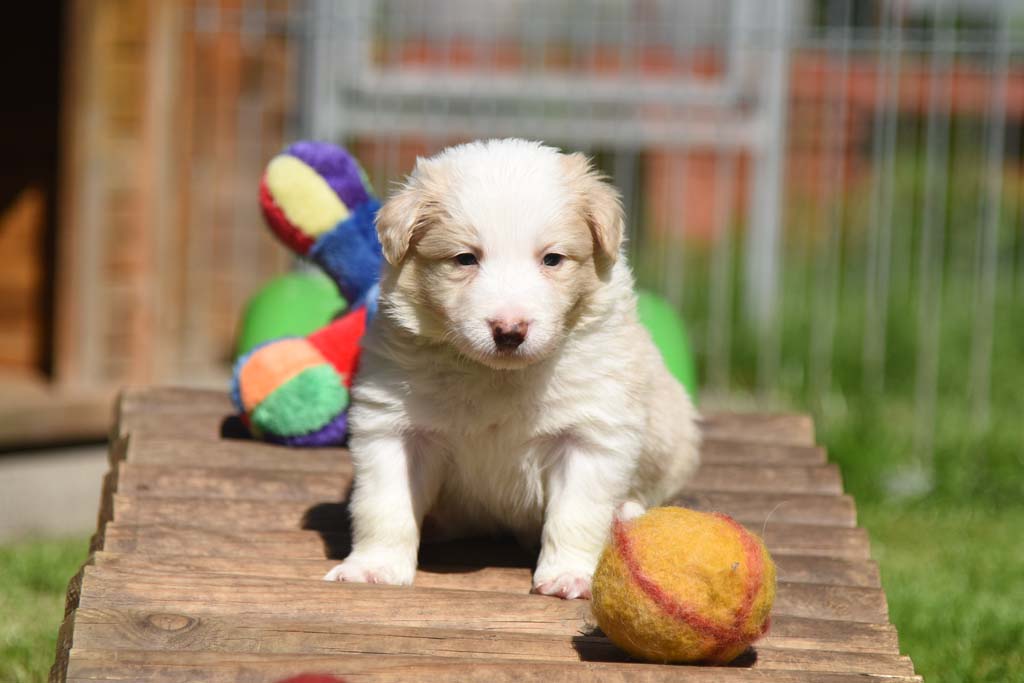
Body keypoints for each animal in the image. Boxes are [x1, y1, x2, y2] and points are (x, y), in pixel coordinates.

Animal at [323, 139, 700, 598]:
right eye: (465, 259)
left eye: (552, 259)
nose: (509, 331)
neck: (496, 376)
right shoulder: (393, 428)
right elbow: (384, 505)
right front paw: (373, 567)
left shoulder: (591, 433)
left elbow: (576, 512)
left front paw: (569, 575)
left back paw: (625, 511)